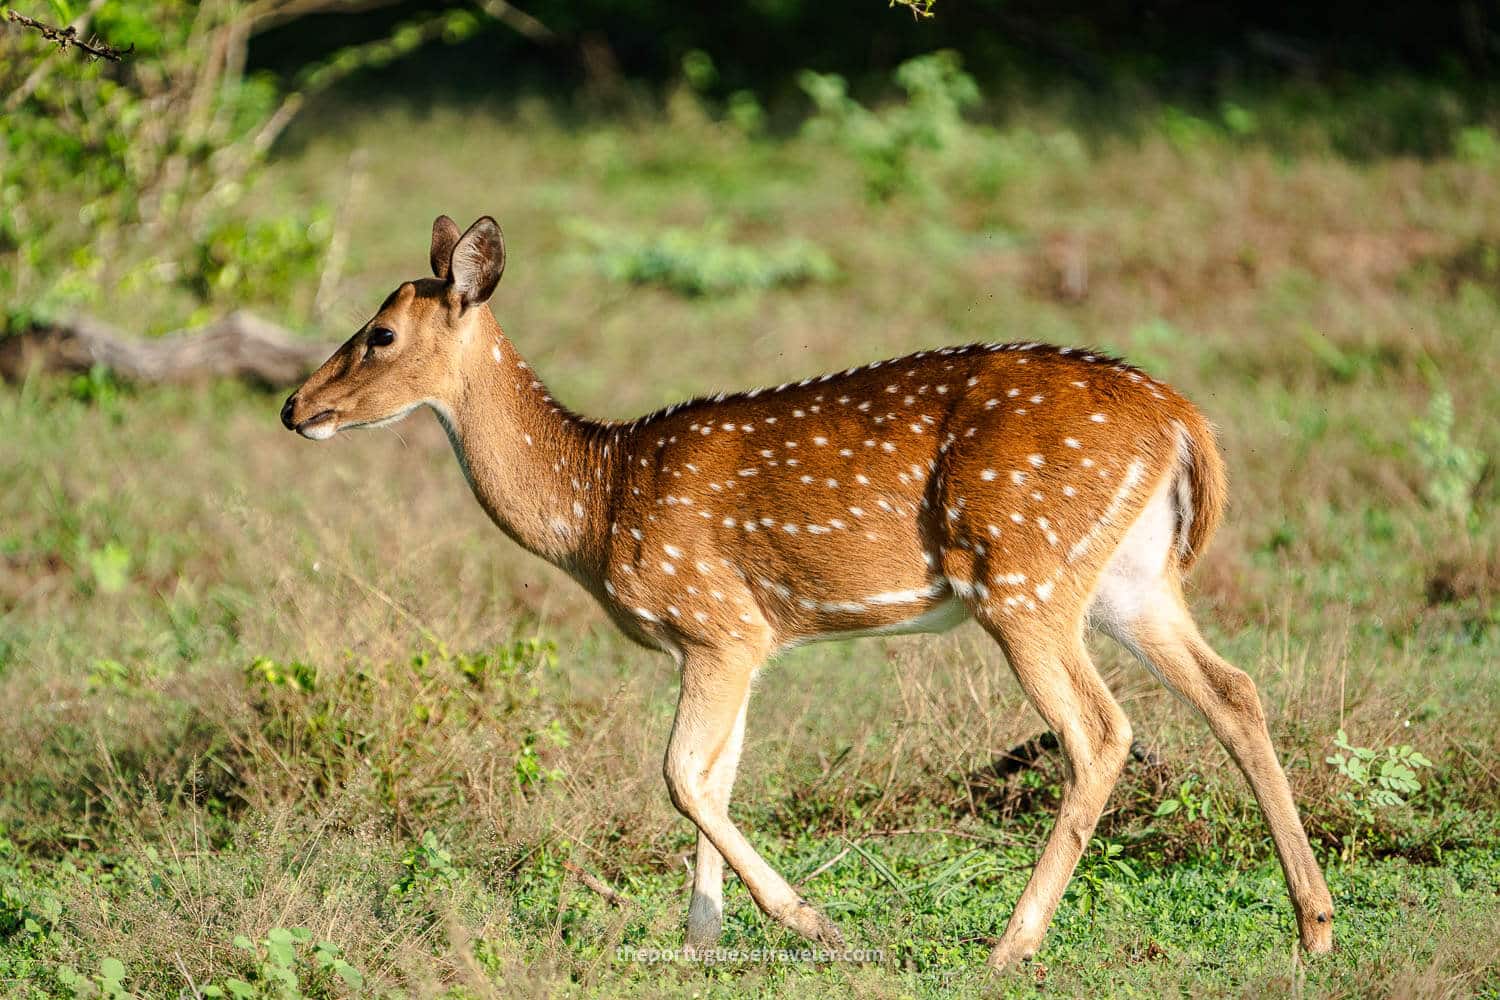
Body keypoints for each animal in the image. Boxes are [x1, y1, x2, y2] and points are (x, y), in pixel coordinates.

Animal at [280, 215, 1334, 969]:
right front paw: (700, 940)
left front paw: (807, 922)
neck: (596, 504)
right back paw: (1314, 925)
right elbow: (715, 776)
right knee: (1233, 690)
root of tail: (1184, 419)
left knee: (1101, 730)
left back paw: (1010, 944)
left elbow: (679, 775)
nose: (294, 407)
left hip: (1023, 575)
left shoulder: (715, 621)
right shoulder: (741, 642)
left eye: (379, 333)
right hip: (1128, 579)